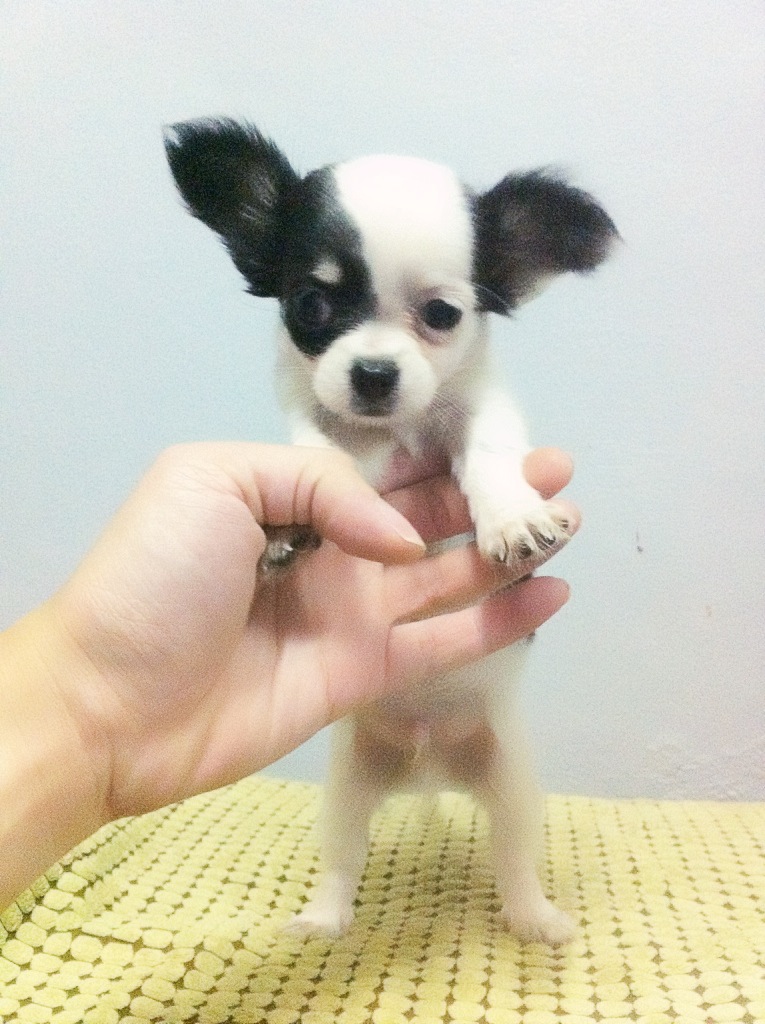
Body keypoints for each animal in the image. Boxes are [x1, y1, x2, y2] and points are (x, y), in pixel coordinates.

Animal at [164, 118, 617, 945]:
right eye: (311, 303)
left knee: (513, 859)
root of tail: (426, 762)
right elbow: (317, 459)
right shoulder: (311, 420)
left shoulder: (482, 410)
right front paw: (290, 527)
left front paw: (510, 519)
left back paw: (536, 920)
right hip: (347, 791)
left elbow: (488, 452)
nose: (372, 372)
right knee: (343, 861)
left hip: (512, 785)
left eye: (441, 315)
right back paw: (322, 919)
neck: (392, 431)